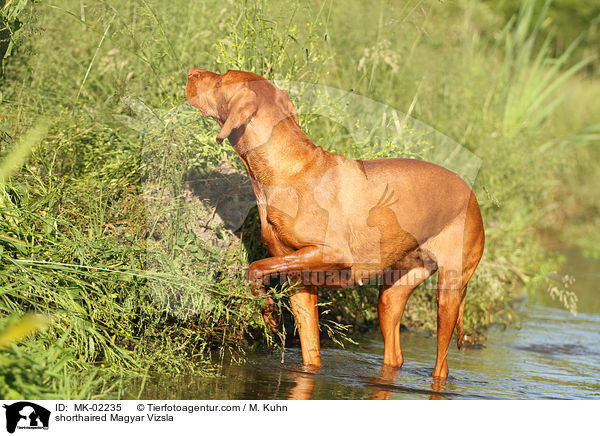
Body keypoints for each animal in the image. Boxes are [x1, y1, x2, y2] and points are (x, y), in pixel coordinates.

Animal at [185, 68, 486, 378]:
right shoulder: (300, 282)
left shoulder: (332, 254)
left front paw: (270, 314)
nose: (192, 72)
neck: (287, 170)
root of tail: (472, 193)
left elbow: (255, 267)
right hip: (391, 296)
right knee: (394, 354)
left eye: (222, 79)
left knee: (441, 366)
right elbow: (310, 353)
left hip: (448, 294)